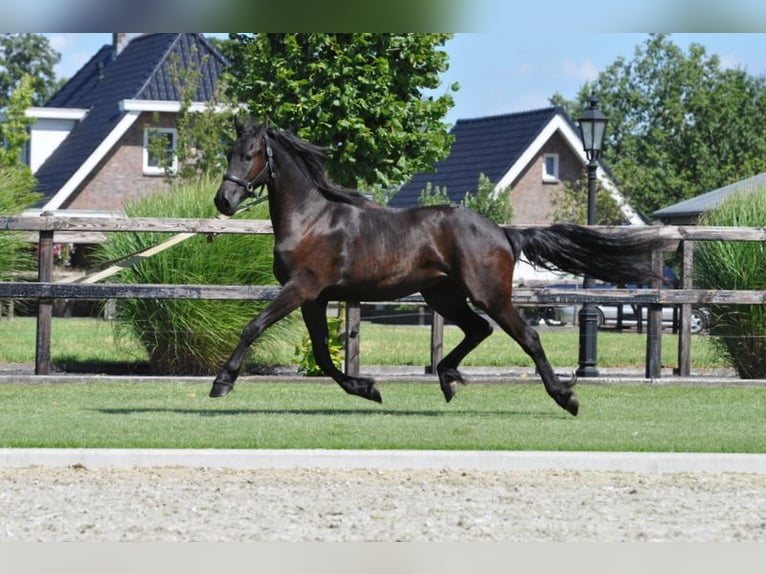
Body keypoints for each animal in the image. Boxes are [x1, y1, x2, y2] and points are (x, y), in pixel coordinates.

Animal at [213, 119, 668, 416]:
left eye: (250, 155)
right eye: (229, 153)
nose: (223, 201)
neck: (311, 220)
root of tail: (503, 232)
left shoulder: (301, 289)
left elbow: (253, 327)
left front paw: (223, 382)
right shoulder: (315, 298)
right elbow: (324, 354)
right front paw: (367, 389)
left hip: (488, 295)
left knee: (528, 336)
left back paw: (565, 397)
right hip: (443, 295)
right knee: (478, 330)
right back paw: (448, 377)